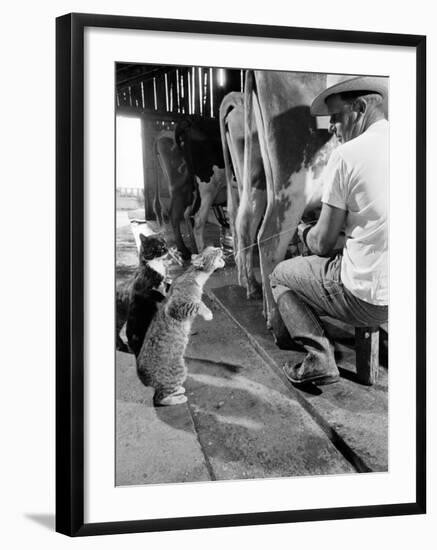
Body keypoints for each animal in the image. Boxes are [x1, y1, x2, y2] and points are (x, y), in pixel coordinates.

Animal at [136, 248, 225, 408]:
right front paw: (207, 313)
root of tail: (142, 378)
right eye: (213, 251)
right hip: (179, 371)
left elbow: (199, 302)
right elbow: (197, 304)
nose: (220, 248)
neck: (194, 276)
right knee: (159, 398)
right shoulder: (176, 307)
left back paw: (178, 391)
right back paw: (179, 398)